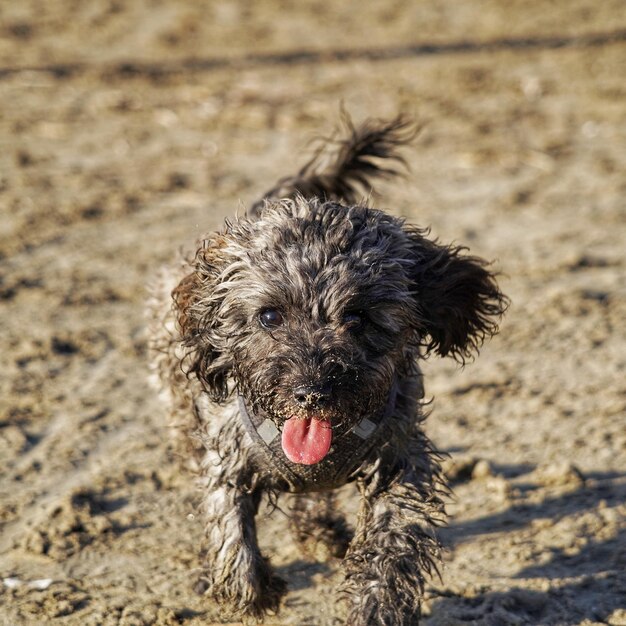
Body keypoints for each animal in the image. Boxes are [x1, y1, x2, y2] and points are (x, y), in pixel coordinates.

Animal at [147, 114, 508, 620]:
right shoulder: (226, 455)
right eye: (269, 316)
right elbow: (228, 523)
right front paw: (251, 588)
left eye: (358, 317)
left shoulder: (399, 461)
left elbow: (393, 539)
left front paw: (377, 603)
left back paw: (318, 531)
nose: (311, 392)